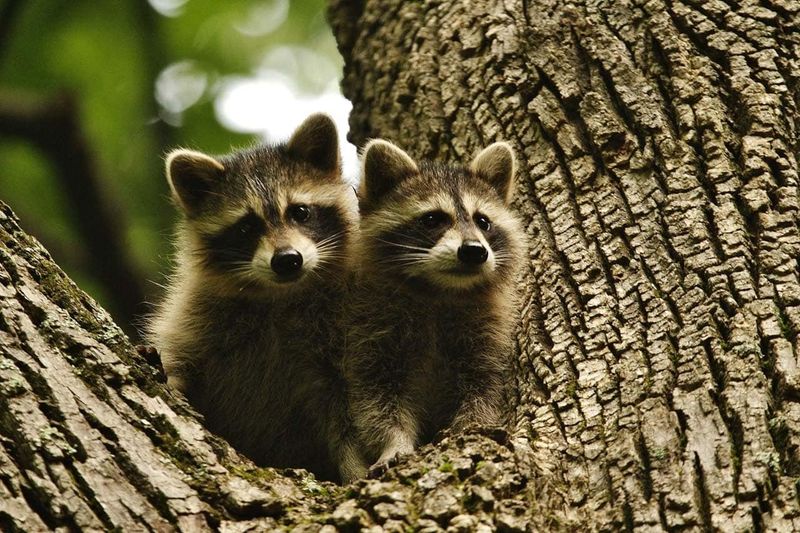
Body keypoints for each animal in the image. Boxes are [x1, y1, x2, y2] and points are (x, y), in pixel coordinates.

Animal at [148, 113, 364, 482]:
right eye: (247, 227)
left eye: (300, 212)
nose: (288, 259)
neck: (280, 295)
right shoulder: (197, 316)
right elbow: (181, 356)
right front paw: (173, 380)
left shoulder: (338, 331)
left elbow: (345, 410)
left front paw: (356, 465)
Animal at [344, 139, 524, 472]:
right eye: (432, 219)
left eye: (483, 221)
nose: (475, 251)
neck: (441, 291)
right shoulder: (370, 326)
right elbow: (376, 400)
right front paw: (393, 442)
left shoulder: (486, 335)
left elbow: (484, 389)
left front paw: (469, 427)